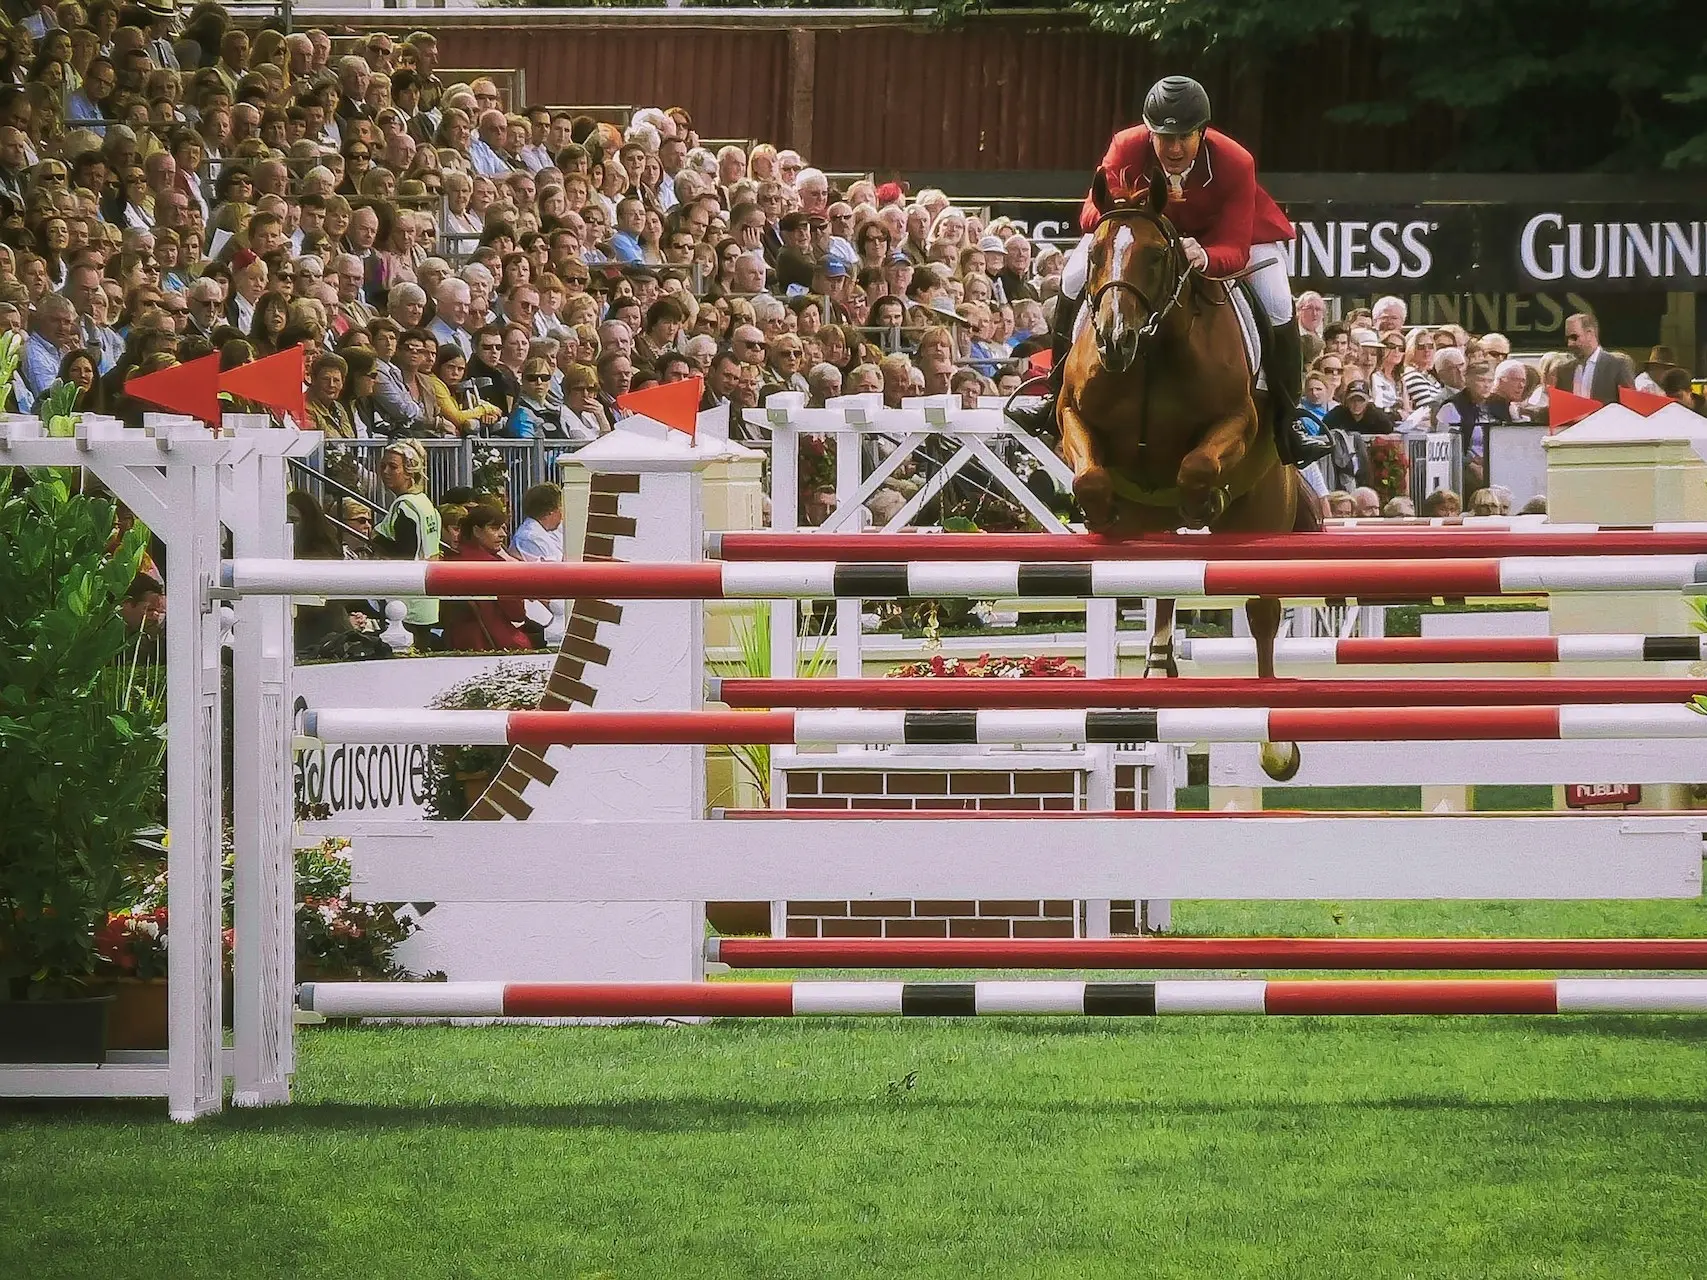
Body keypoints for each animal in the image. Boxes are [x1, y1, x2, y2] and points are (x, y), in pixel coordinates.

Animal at [1051, 178, 1317, 781]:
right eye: (1095, 254)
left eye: (1156, 255)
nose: (1114, 340)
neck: (1151, 354)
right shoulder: (1072, 417)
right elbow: (1091, 478)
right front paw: (1099, 514)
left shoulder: (1236, 421)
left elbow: (1197, 466)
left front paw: (1204, 500)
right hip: (1154, 523)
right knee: (1162, 583)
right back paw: (1156, 670)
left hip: (1264, 513)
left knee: (1262, 613)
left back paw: (1277, 745)